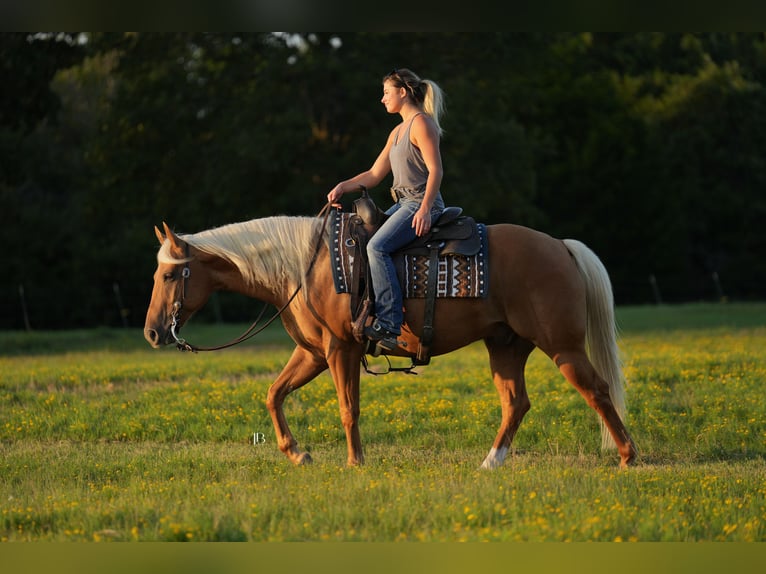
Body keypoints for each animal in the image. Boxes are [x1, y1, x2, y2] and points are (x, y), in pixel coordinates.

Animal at [143, 213, 638, 469]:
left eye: (169, 275)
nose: (151, 332)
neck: (306, 266)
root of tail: (560, 245)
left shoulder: (340, 349)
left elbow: (348, 407)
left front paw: (354, 463)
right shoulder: (313, 353)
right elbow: (273, 393)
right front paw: (297, 453)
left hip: (563, 348)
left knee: (597, 390)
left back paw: (628, 456)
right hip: (506, 345)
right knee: (516, 402)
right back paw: (490, 463)